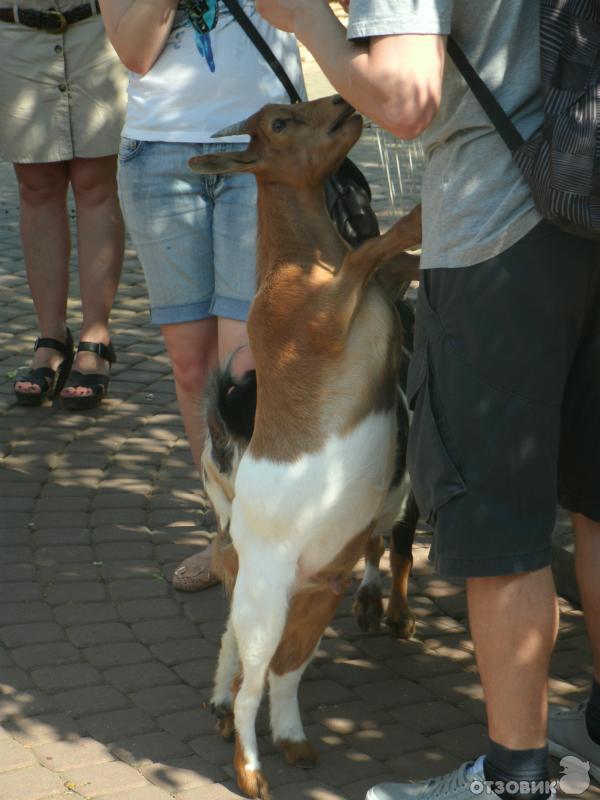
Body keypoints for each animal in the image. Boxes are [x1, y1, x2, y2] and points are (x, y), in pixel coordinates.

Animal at [190, 95, 420, 800]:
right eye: (280, 124)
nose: (346, 102)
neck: (299, 263)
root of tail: (232, 539)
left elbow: (387, 263)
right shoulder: (320, 317)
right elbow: (370, 253)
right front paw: (420, 218)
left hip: (317, 594)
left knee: (280, 674)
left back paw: (292, 741)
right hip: (265, 606)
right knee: (249, 683)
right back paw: (251, 770)